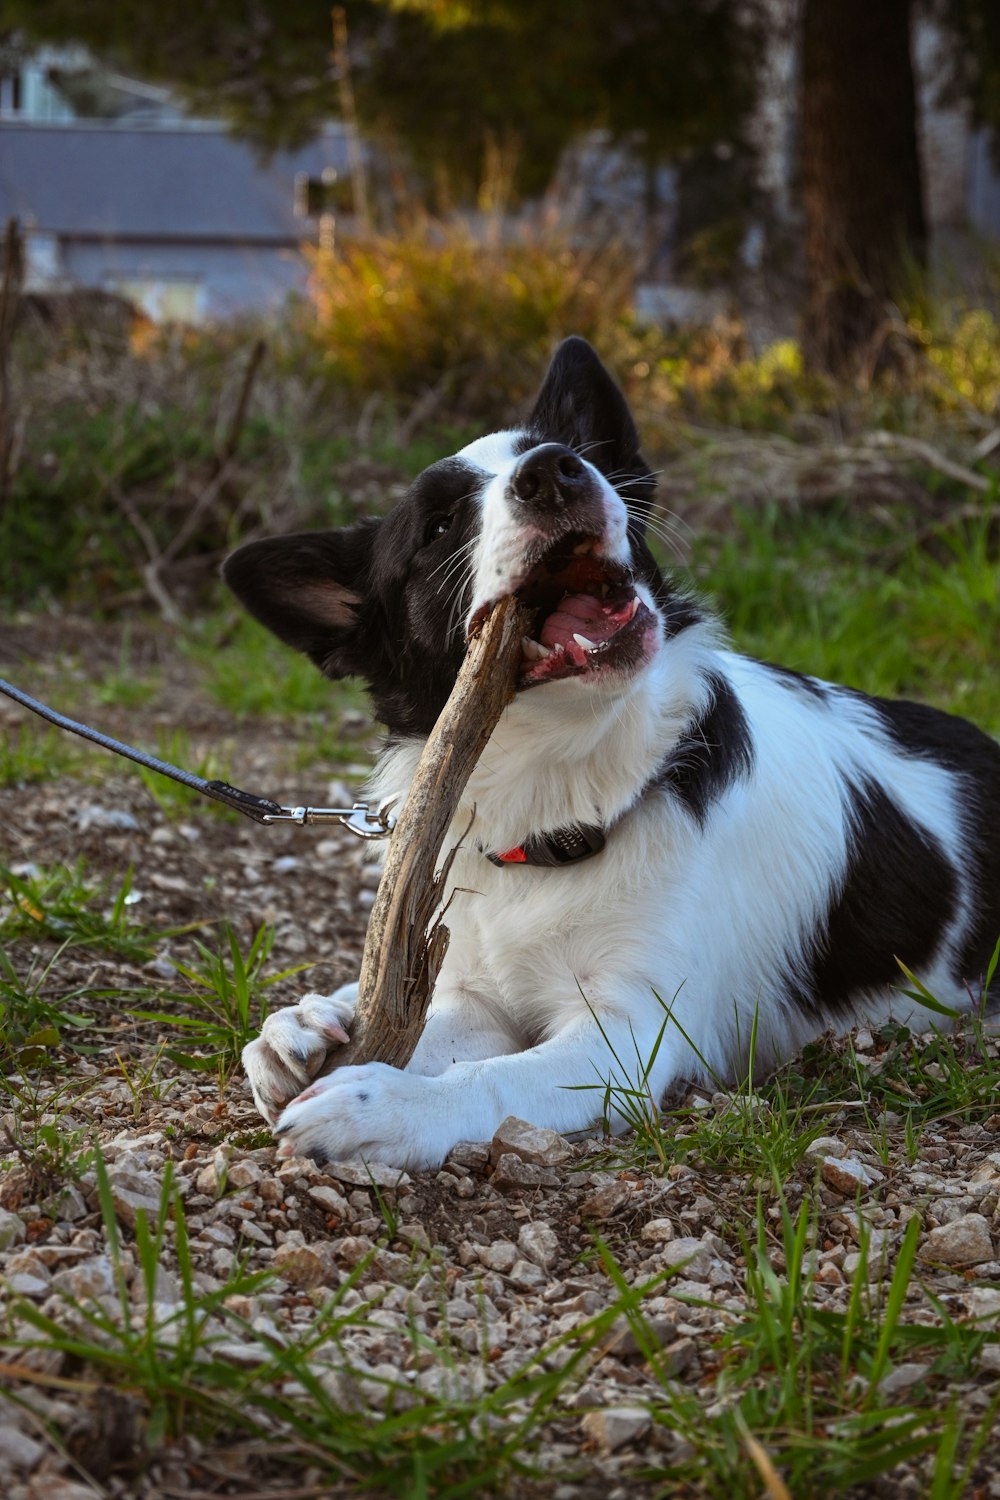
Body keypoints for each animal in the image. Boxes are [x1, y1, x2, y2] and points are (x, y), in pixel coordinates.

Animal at [226, 340, 1000, 1170]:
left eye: (572, 457)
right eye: (436, 528)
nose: (555, 472)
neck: (561, 808)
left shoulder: (628, 1038)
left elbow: (488, 1081)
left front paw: (386, 1106)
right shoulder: (477, 999)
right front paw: (307, 1037)